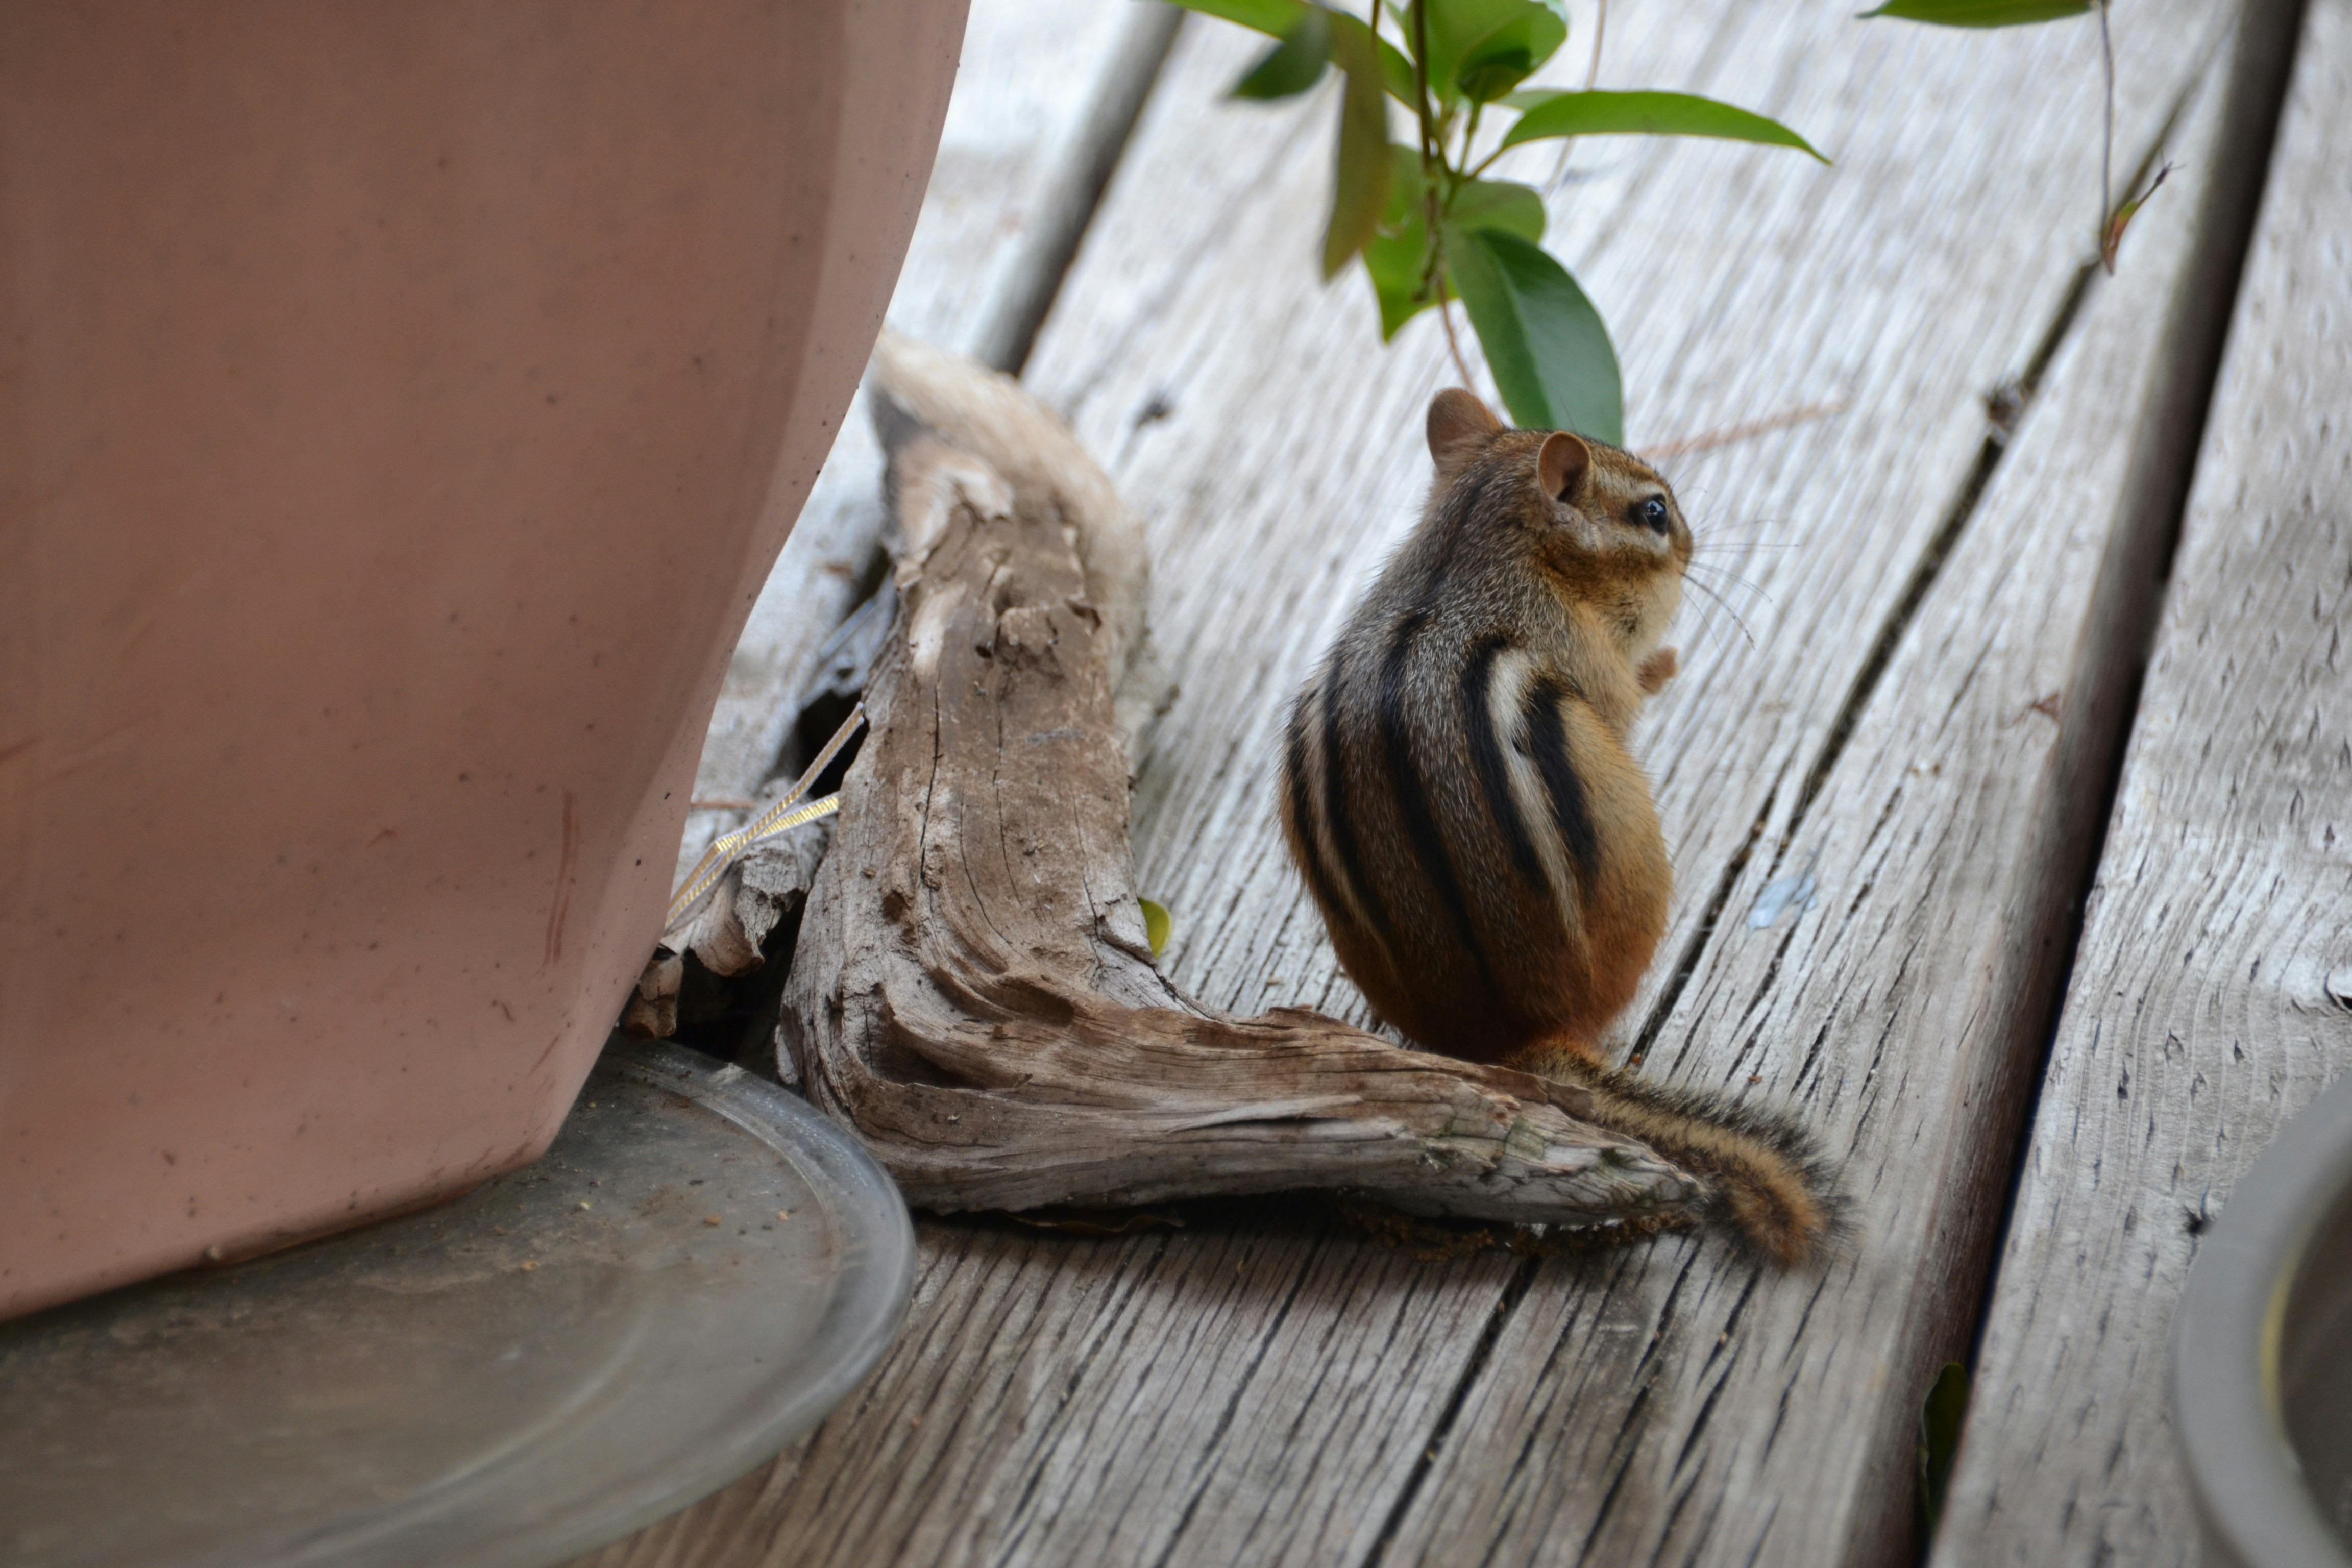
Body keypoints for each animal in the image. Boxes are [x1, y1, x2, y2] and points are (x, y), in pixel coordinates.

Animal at [1278, 388, 1839, 1264]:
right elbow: (1626, 698)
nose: (1691, 543)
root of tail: (1518, 1035)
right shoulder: (1591, 664)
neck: (1466, 554)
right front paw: (1663, 666)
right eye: (1654, 512)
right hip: (1640, 863)